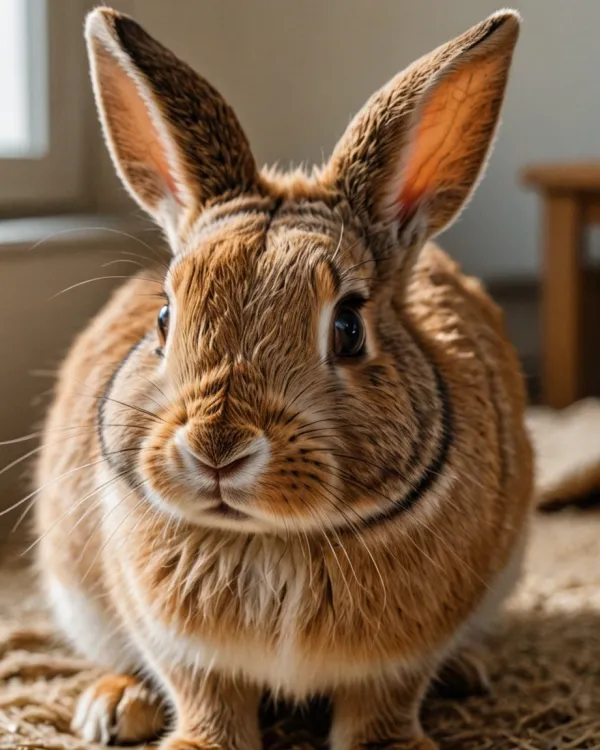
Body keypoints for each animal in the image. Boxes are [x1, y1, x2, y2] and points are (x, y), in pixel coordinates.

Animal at [34, 7, 533, 750]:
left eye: (349, 327)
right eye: (164, 317)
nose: (216, 450)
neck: (270, 540)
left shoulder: (400, 660)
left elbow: (383, 703)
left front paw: (392, 744)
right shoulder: (180, 649)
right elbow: (204, 694)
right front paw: (198, 742)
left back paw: (468, 672)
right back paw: (113, 708)